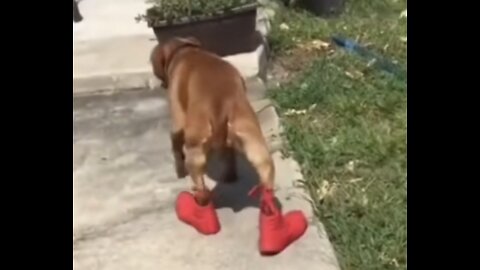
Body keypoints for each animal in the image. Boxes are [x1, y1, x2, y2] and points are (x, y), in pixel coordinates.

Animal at [152, 37, 276, 204]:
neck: (185, 50)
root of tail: (220, 105)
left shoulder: (177, 123)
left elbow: (176, 149)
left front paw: (179, 171)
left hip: (195, 150)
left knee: (201, 185)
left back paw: (199, 198)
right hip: (254, 143)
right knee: (263, 169)